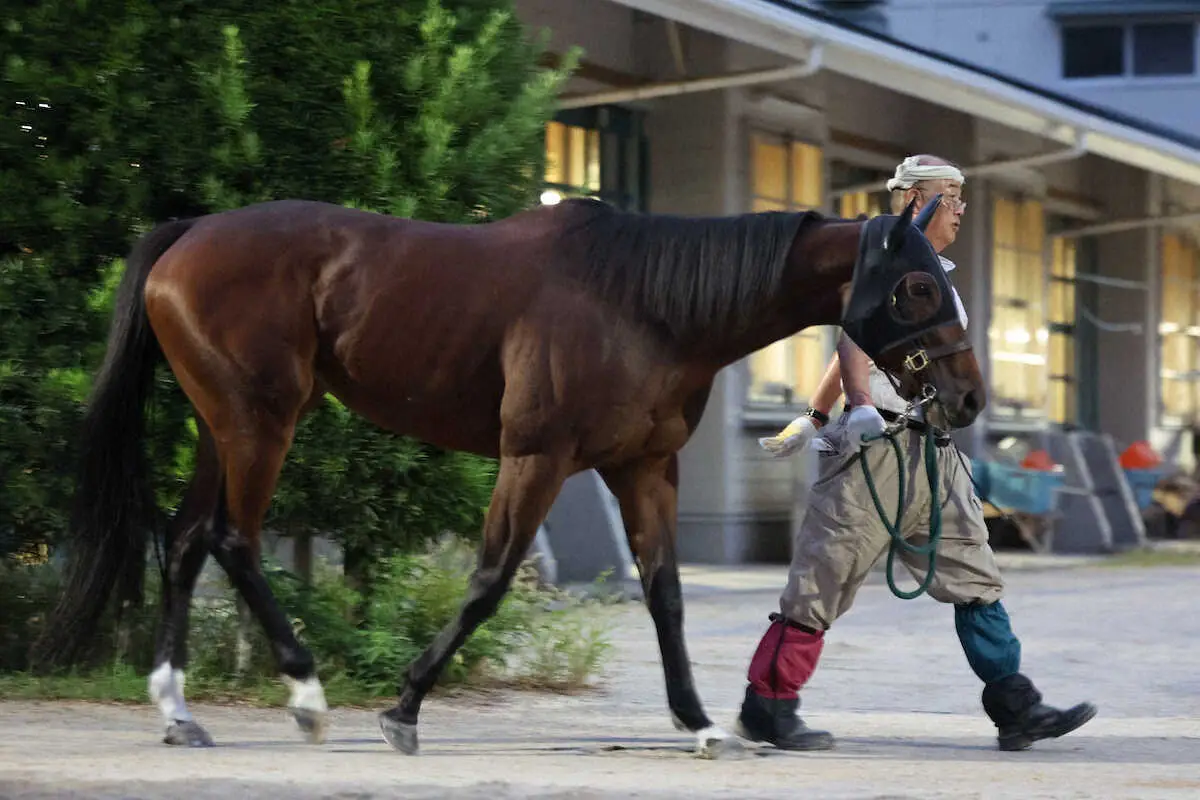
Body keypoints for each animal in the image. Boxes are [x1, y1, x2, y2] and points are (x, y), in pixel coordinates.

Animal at [30, 194, 984, 758]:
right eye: (917, 288)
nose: (969, 397)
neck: (644, 302)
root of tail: (189, 232)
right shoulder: (538, 457)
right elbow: (489, 580)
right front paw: (404, 708)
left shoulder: (644, 468)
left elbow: (665, 593)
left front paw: (701, 721)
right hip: (260, 423)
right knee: (231, 538)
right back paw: (305, 693)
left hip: (220, 426)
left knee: (189, 539)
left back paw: (177, 711)